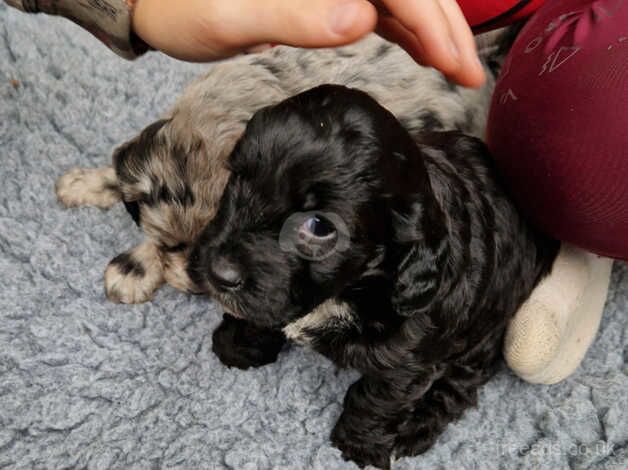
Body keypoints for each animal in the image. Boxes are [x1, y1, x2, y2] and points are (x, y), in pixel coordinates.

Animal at [188, 85, 560, 470]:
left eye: (318, 226)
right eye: (237, 177)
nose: (219, 274)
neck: (349, 290)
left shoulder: (407, 359)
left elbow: (375, 399)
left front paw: (358, 447)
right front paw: (238, 342)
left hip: (482, 332)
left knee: (458, 384)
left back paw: (416, 428)